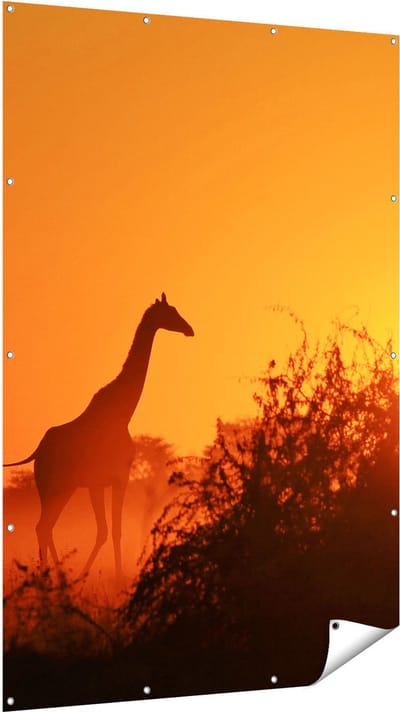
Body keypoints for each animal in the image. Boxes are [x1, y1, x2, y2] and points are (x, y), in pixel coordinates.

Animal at [3, 293, 194, 581]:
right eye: (171, 312)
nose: (189, 329)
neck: (123, 412)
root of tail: (38, 451)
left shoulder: (98, 483)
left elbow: (105, 530)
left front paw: (88, 574)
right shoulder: (119, 477)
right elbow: (113, 530)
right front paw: (116, 576)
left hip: (58, 488)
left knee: (44, 526)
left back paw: (54, 572)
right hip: (56, 487)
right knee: (43, 525)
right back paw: (52, 574)